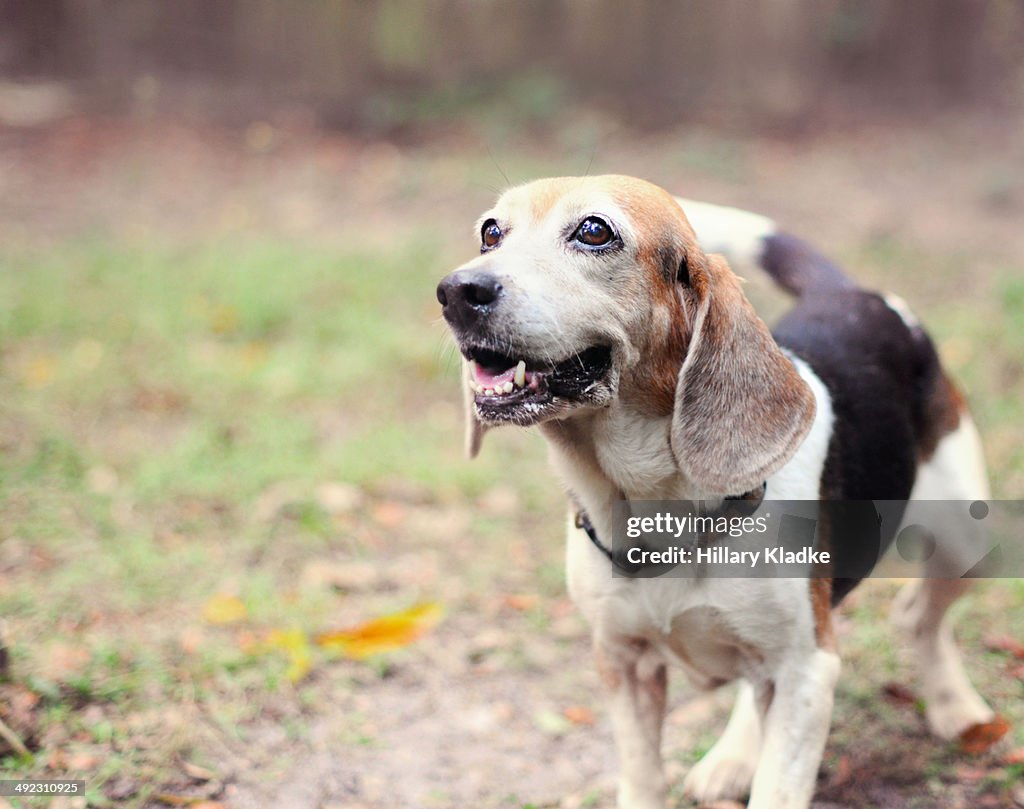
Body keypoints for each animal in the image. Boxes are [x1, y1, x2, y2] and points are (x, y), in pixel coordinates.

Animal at [434, 179, 999, 809]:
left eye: (594, 231)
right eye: (490, 233)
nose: (457, 291)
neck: (662, 508)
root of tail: (852, 292)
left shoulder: (806, 671)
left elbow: (779, 786)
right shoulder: (622, 662)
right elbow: (642, 778)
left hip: (968, 544)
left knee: (917, 617)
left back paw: (955, 707)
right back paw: (734, 756)